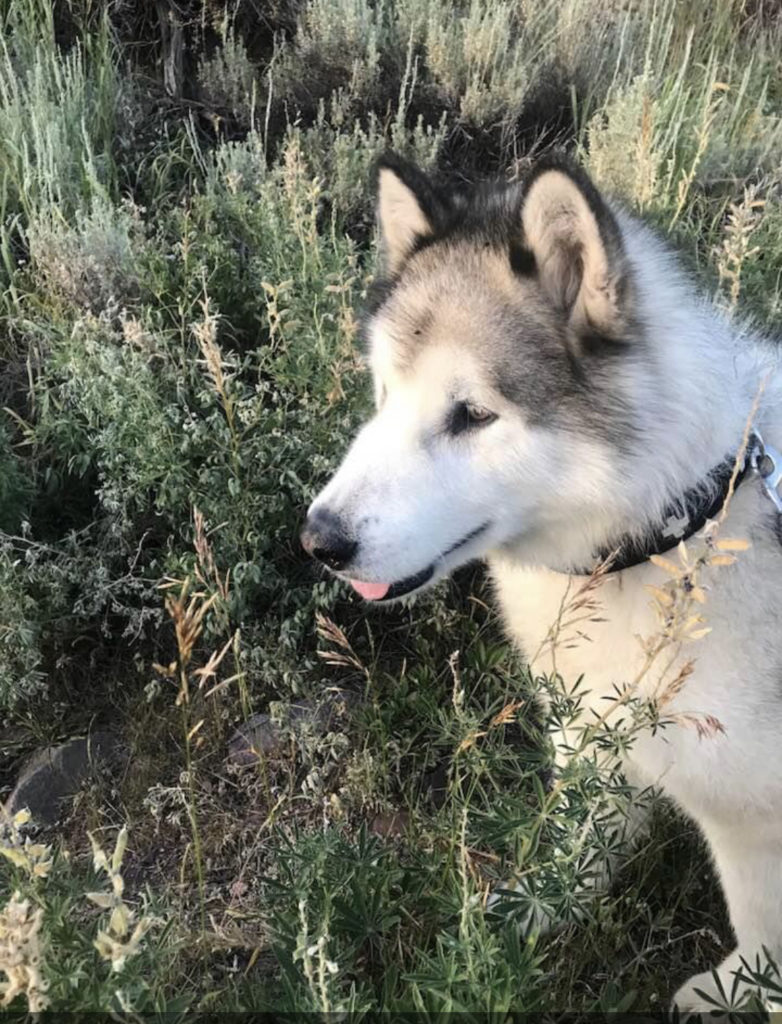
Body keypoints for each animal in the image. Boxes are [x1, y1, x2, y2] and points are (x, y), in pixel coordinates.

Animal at [301, 151, 782, 1013]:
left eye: (471, 414)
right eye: (384, 393)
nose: (320, 540)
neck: (669, 537)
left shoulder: (751, 818)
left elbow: (763, 932)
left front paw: (735, 993)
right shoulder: (592, 733)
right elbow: (579, 842)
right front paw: (532, 910)